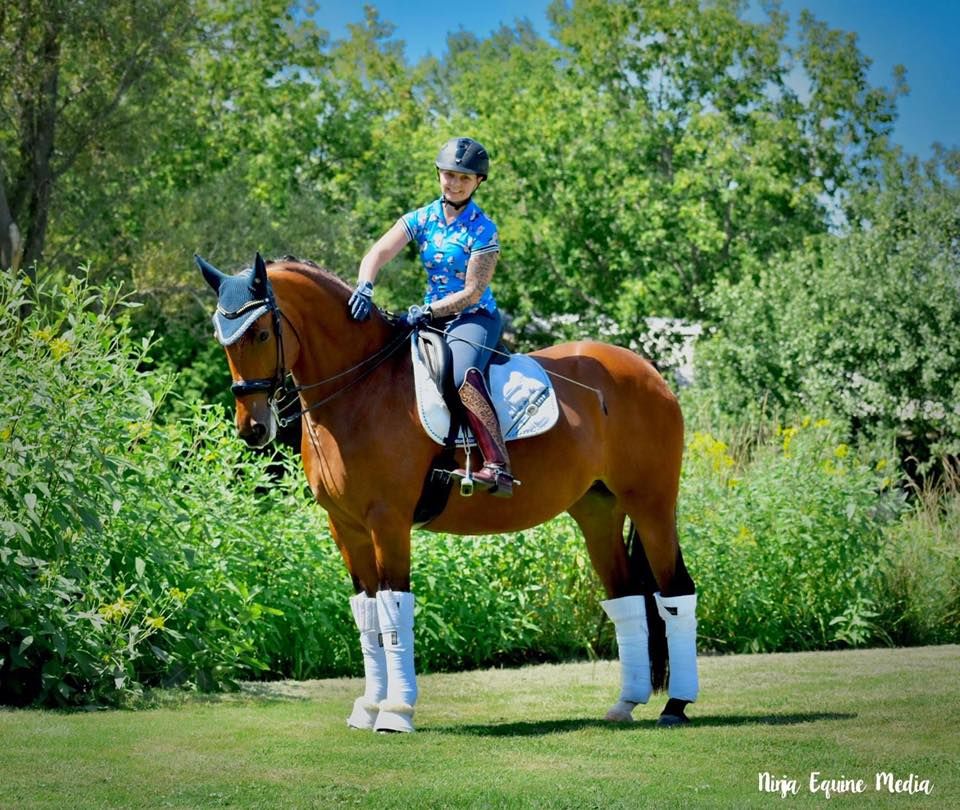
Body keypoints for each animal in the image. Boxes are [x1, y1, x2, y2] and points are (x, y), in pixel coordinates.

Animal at [201, 252, 696, 732]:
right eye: (222, 336)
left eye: (260, 333)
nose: (252, 428)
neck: (361, 390)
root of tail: (647, 372)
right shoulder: (346, 527)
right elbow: (367, 616)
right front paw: (369, 707)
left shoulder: (388, 521)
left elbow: (393, 611)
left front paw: (397, 712)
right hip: (597, 511)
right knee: (626, 599)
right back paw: (626, 703)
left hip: (651, 504)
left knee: (675, 593)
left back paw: (675, 705)